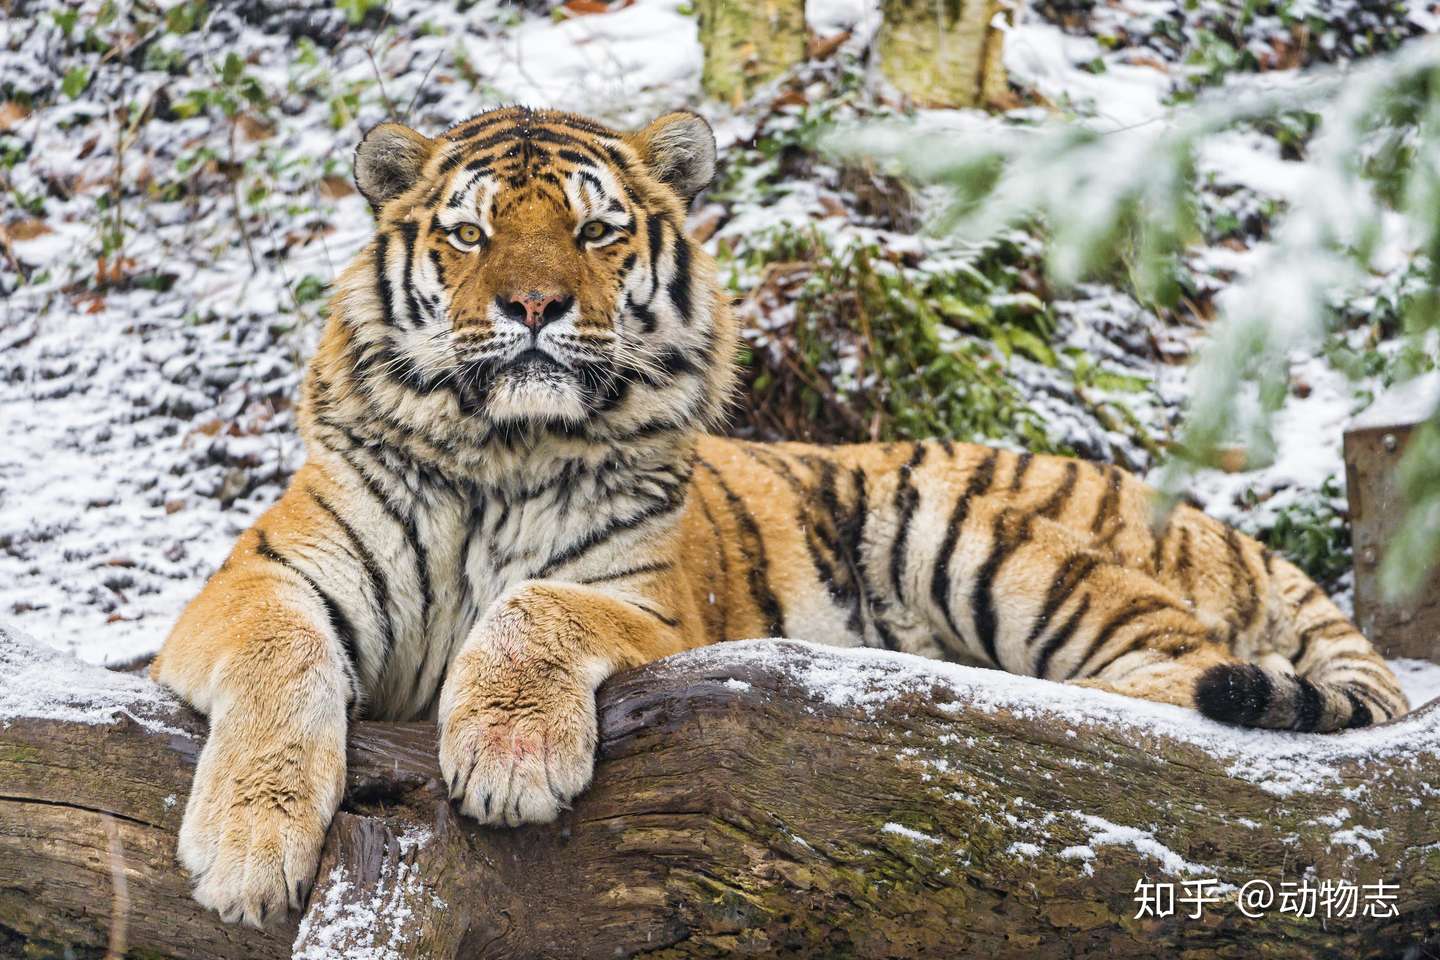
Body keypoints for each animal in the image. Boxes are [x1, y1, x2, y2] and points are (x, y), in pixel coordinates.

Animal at [151, 105, 1410, 927]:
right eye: (470, 233)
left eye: (596, 231)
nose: (534, 305)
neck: (507, 449)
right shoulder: (260, 581)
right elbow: (279, 662)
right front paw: (249, 849)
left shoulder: (648, 603)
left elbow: (531, 607)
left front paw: (509, 754)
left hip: (978, 534)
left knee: (1167, 690)